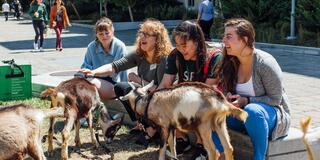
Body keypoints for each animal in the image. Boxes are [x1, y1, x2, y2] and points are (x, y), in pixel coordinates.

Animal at [121, 81, 249, 160]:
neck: (147, 102)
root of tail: (221, 102)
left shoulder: (164, 127)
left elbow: (162, 148)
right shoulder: (172, 127)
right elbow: (172, 144)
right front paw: (174, 157)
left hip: (204, 126)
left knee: (213, 151)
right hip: (220, 124)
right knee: (228, 148)